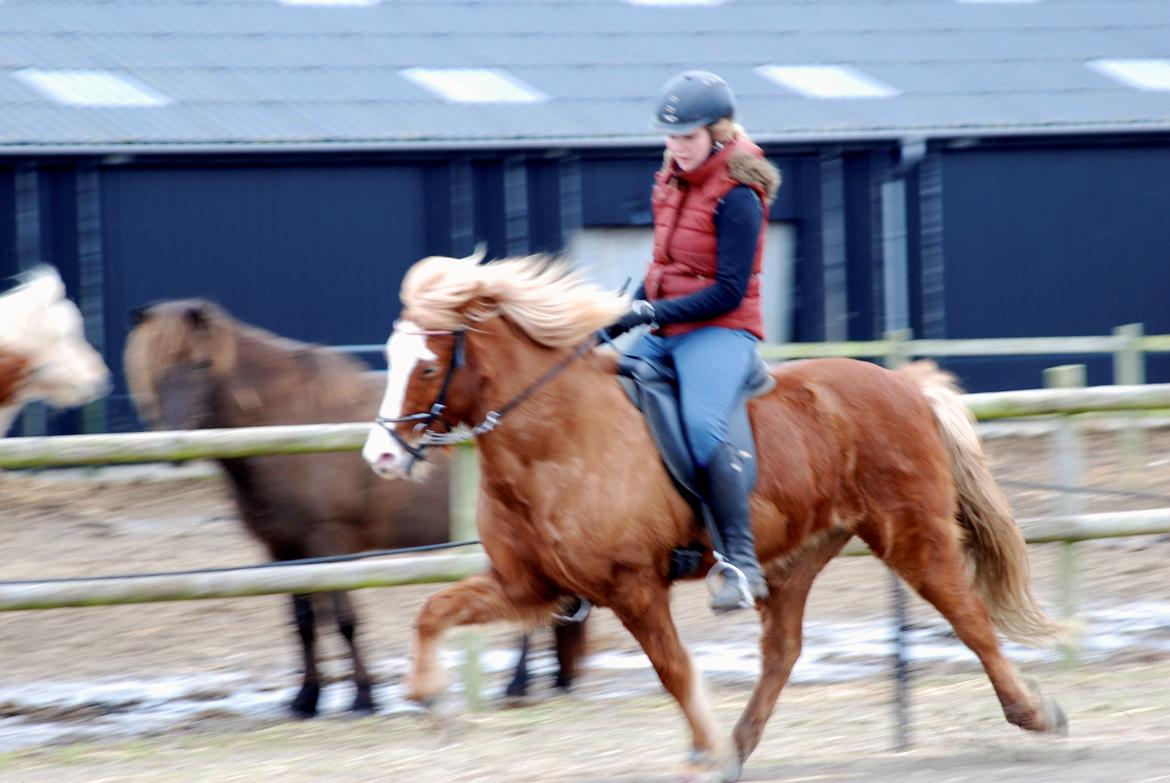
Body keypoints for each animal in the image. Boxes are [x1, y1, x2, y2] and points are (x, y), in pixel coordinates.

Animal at [125, 299, 582, 716]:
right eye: (155, 368)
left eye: (200, 365)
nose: (174, 448)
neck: (288, 422)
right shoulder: (282, 550)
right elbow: (304, 623)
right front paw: (306, 699)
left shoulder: (331, 542)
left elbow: (345, 621)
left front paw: (363, 697)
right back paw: (554, 677)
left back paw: (519, 683)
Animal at [365, 255, 1071, 781]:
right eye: (390, 357)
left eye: (428, 364)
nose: (380, 458)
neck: (556, 440)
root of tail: (904, 385)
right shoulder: (528, 585)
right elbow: (432, 612)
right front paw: (430, 701)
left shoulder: (631, 585)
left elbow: (674, 670)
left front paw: (704, 755)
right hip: (794, 557)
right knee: (783, 652)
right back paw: (740, 744)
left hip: (911, 535)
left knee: (969, 616)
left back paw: (1035, 713)